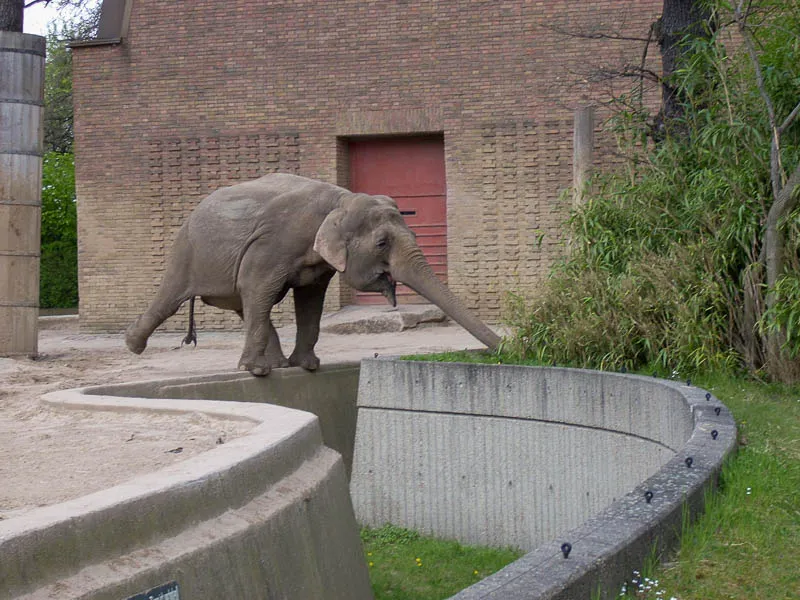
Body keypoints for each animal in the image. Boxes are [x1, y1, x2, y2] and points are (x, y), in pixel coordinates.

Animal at [125, 173, 500, 376]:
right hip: (185, 251)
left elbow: (310, 301)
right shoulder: (272, 244)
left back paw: (279, 365)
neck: (340, 200)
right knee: (174, 299)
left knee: (249, 308)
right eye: (381, 243)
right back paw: (133, 344)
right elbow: (259, 287)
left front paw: (307, 366)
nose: (506, 349)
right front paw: (255, 372)